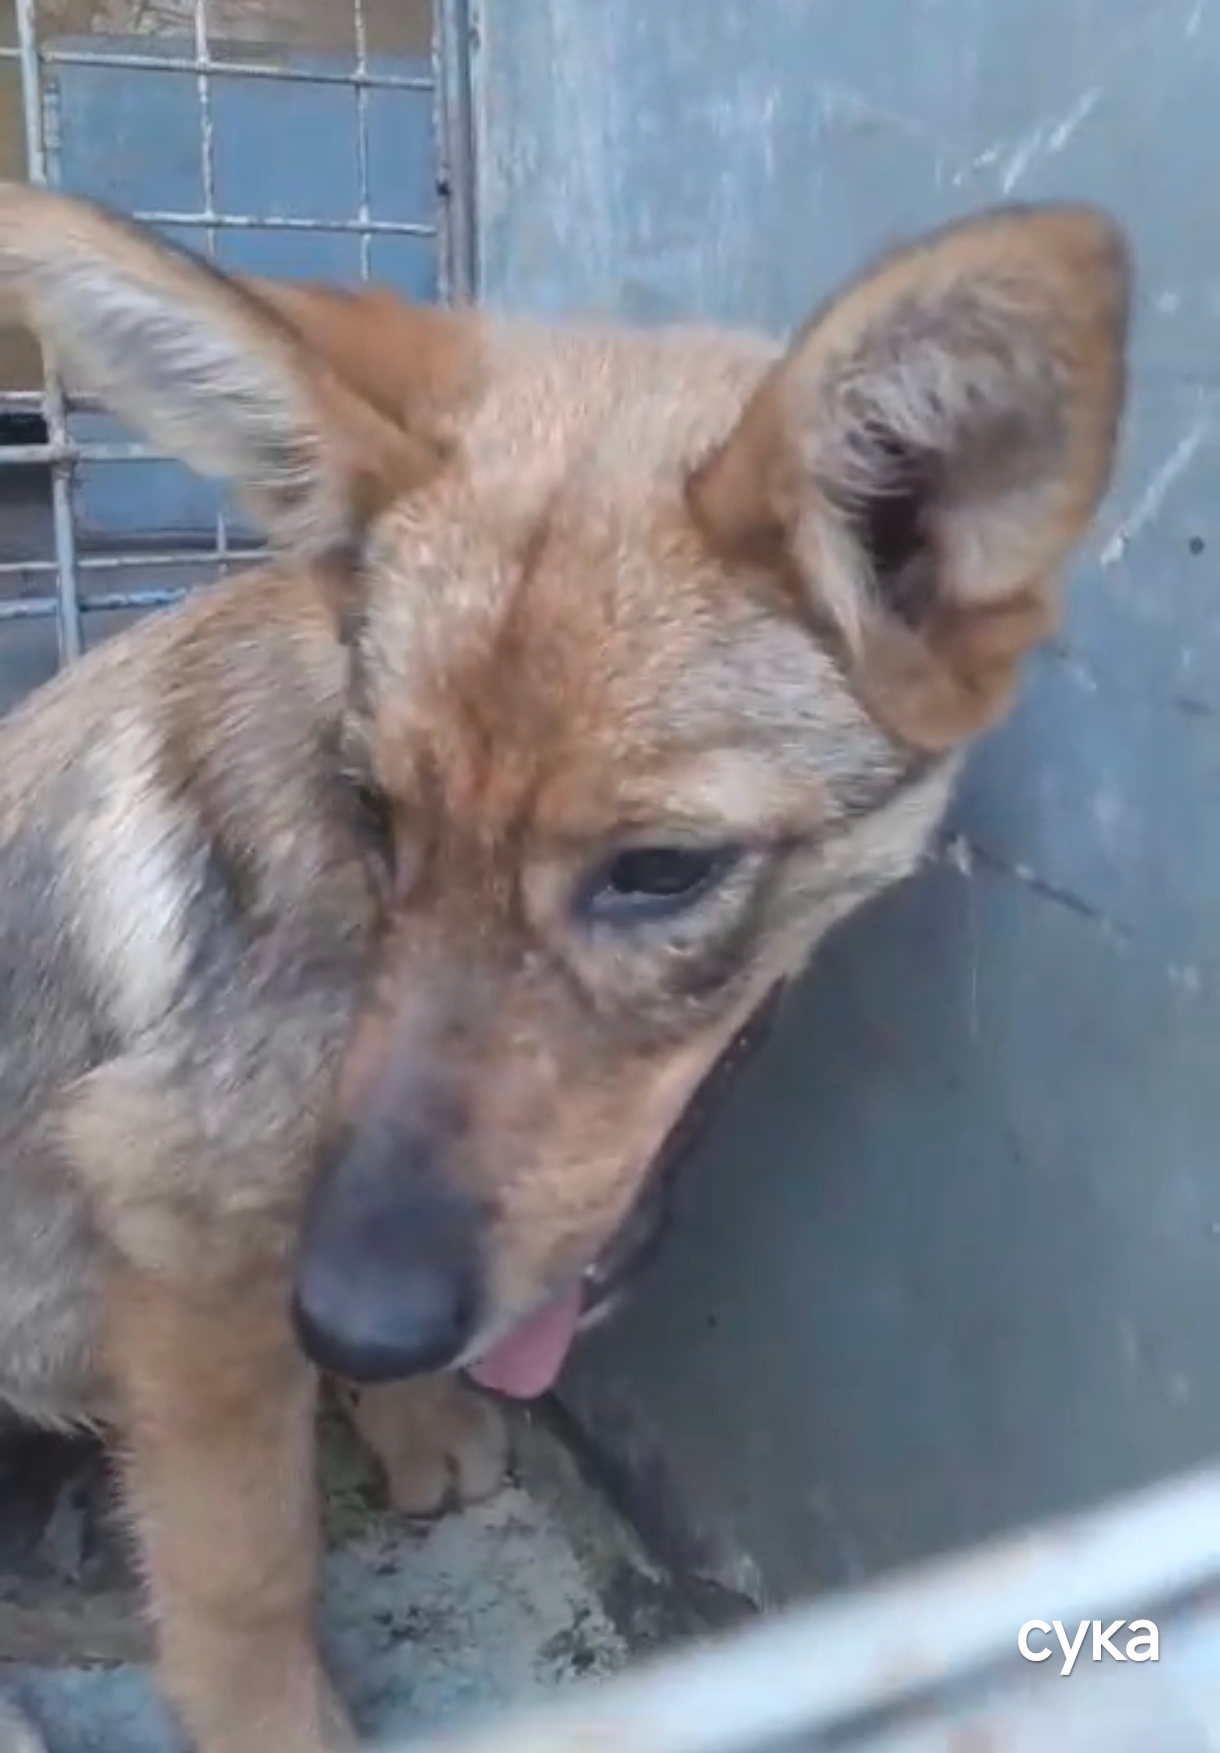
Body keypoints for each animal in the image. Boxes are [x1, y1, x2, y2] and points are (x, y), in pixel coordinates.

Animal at [0, 183, 1128, 1752]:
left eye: (659, 870)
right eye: (373, 816)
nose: (353, 1317)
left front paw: (408, 1418)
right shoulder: (185, 1226)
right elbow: (246, 1575)